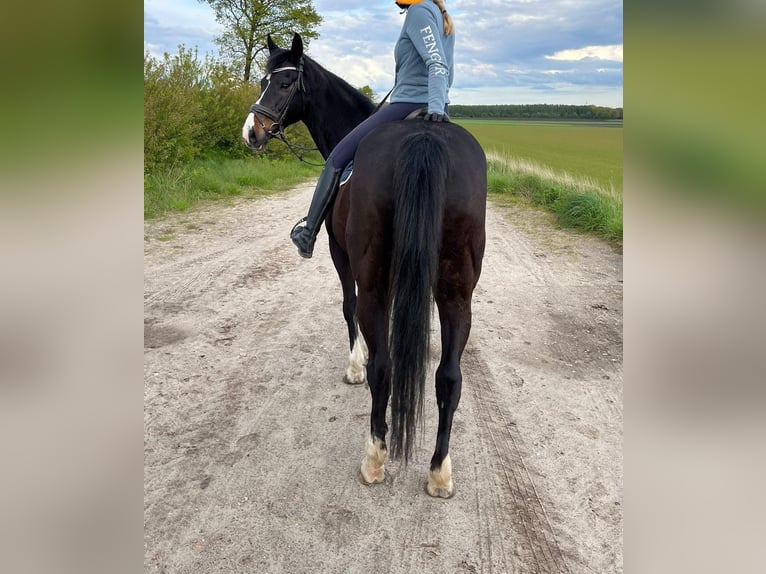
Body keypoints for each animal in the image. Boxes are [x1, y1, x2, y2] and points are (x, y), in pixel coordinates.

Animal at [243, 32, 488, 500]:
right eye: (263, 80)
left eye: (283, 83)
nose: (251, 132)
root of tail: (425, 137)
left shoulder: (340, 254)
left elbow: (347, 307)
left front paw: (354, 365)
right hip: (456, 292)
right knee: (449, 377)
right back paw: (439, 471)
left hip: (373, 277)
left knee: (384, 366)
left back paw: (375, 457)